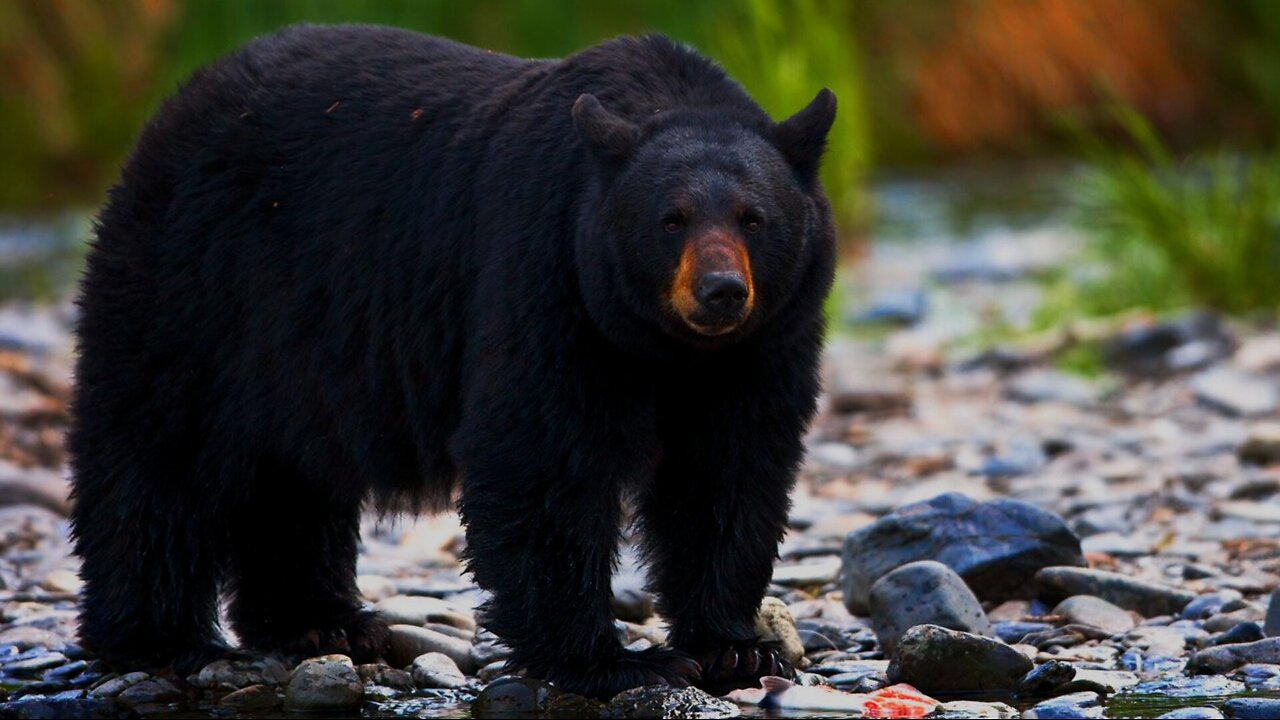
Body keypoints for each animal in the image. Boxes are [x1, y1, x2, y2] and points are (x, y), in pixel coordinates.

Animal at [64, 23, 834, 696]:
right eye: (670, 219)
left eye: (754, 218)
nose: (720, 291)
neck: (667, 348)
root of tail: (176, 105)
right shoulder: (546, 276)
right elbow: (542, 456)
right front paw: (613, 661)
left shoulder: (763, 347)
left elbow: (728, 473)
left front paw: (735, 645)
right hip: (193, 284)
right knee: (159, 456)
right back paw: (157, 638)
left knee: (294, 477)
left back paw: (322, 624)